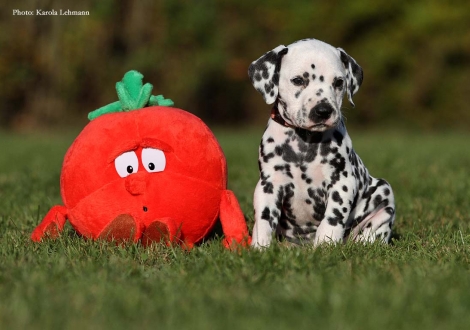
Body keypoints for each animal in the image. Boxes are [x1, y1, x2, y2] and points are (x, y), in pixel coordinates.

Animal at [248, 37, 394, 246]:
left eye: (339, 82)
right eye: (298, 80)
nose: (323, 111)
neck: (305, 143)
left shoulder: (342, 182)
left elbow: (333, 218)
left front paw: (326, 245)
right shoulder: (269, 184)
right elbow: (264, 220)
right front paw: (260, 247)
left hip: (384, 194)